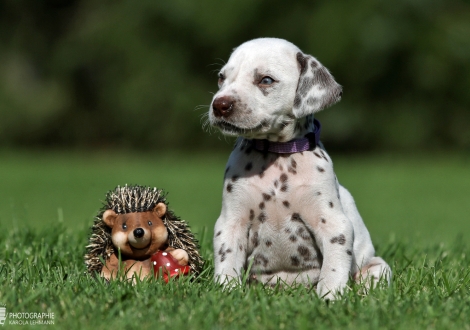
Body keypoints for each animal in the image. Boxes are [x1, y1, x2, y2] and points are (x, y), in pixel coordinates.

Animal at [207, 37, 392, 298]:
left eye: (266, 80)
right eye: (221, 78)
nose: (219, 105)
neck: (278, 155)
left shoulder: (333, 225)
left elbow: (334, 268)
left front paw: (330, 298)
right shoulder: (231, 222)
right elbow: (227, 260)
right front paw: (226, 291)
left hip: (377, 266)